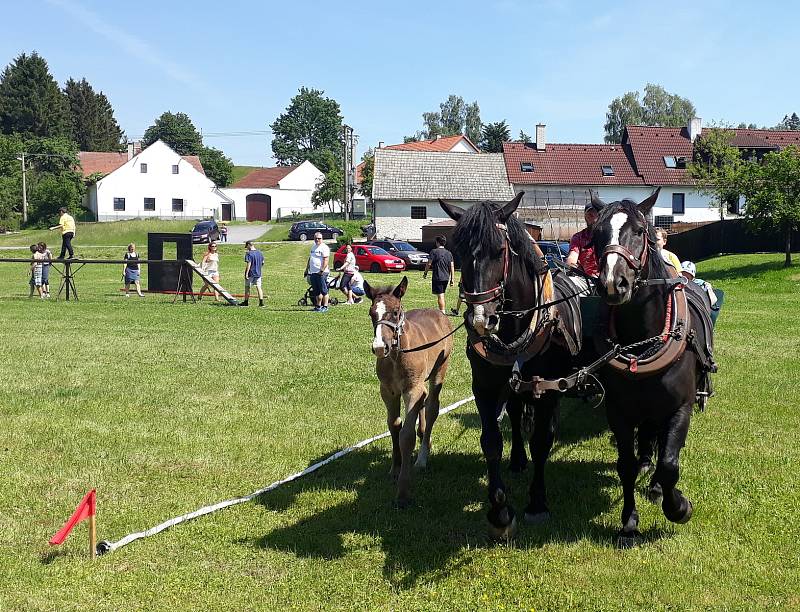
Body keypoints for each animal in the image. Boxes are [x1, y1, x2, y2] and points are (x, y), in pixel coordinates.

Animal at [366, 278, 454, 506]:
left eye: (396, 312)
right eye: (371, 313)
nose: (380, 347)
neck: (396, 356)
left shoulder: (412, 391)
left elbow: (406, 435)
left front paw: (403, 491)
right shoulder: (388, 391)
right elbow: (394, 424)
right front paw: (395, 468)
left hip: (439, 371)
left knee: (431, 407)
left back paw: (422, 458)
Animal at [438, 194, 580, 536]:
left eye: (499, 251)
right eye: (458, 252)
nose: (480, 319)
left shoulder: (548, 388)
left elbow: (542, 441)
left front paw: (537, 503)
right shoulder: (485, 387)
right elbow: (491, 441)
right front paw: (500, 510)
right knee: (515, 414)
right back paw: (517, 459)